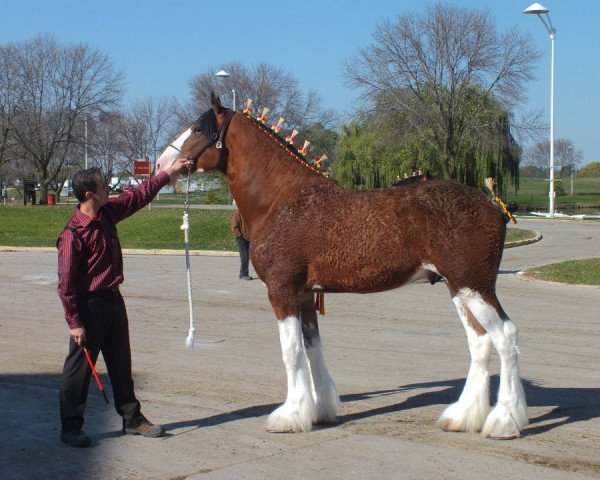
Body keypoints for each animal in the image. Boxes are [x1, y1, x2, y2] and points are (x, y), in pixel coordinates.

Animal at [157, 93, 528, 438]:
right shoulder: (305, 294)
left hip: (474, 287)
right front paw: (317, 410)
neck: (282, 200)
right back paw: (462, 417)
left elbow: (291, 351)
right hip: (459, 289)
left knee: (506, 337)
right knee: (480, 343)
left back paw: (504, 422)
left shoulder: (282, 292)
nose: (162, 163)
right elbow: (312, 348)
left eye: (197, 129)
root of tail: (494, 206)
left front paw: (288, 417)